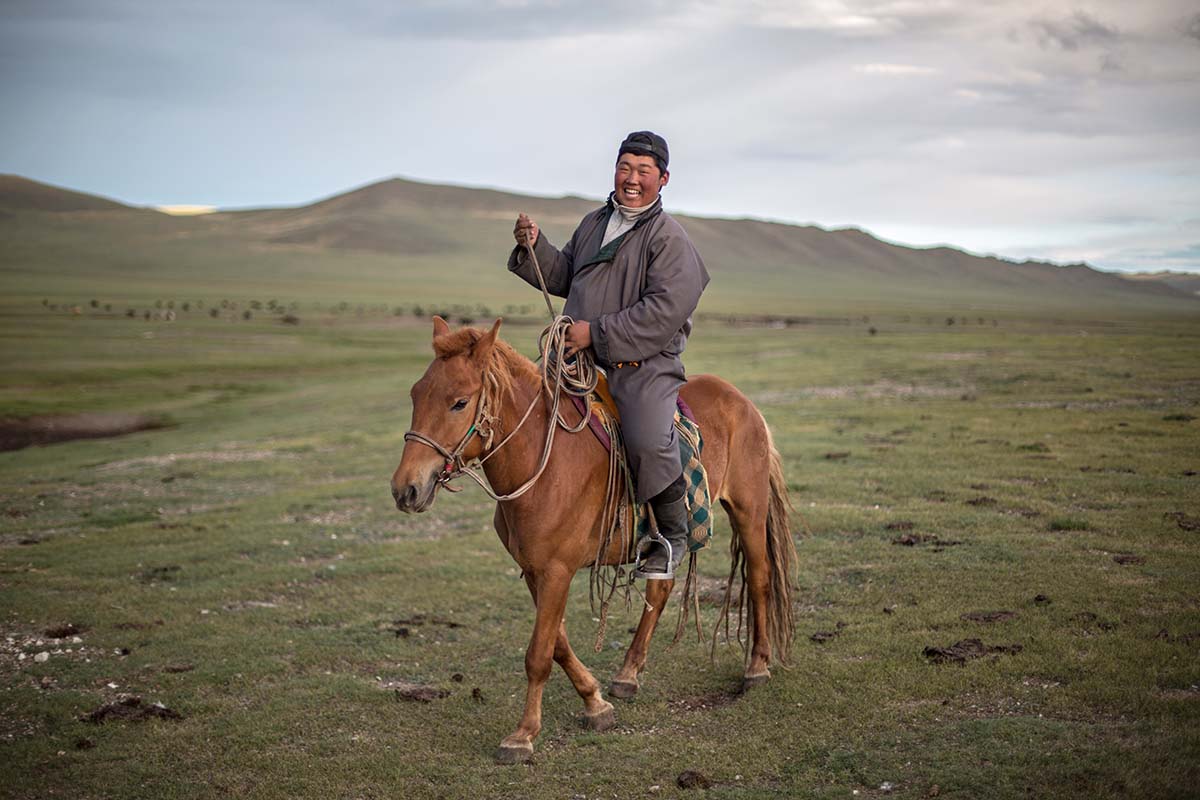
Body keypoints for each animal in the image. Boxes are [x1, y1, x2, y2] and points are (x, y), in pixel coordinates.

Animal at [390, 317, 796, 764]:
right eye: (415, 394)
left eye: (459, 402)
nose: (406, 489)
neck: (544, 464)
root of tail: (741, 401)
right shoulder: (535, 570)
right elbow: (558, 644)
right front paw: (596, 703)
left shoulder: (556, 572)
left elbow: (538, 655)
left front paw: (523, 735)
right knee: (661, 588)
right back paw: (628, 674)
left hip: (748, 510)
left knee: (759, 580)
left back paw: (756, 667)